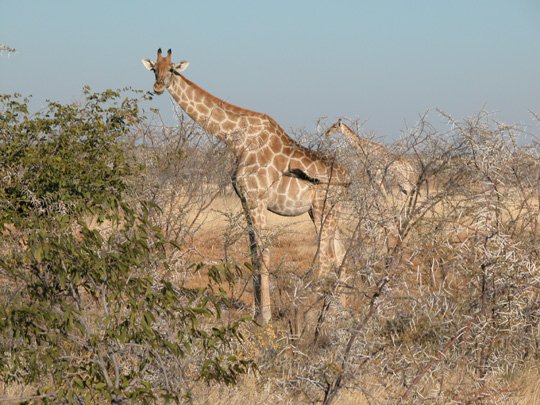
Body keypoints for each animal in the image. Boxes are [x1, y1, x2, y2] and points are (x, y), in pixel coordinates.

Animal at [141, 49, 348, 324]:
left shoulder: (257, 198)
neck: (236, 140)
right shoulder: (245, 200)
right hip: (326, 211)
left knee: (327, 258)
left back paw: (318, 315)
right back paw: (340, 312)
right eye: (154, 69)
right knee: (340, 253)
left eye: (172, 69)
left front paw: (265, 317)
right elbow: (252, 253)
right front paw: (255, 311)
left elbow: (263, 252)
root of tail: (349, 179)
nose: (158, 87)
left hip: (324, 208)